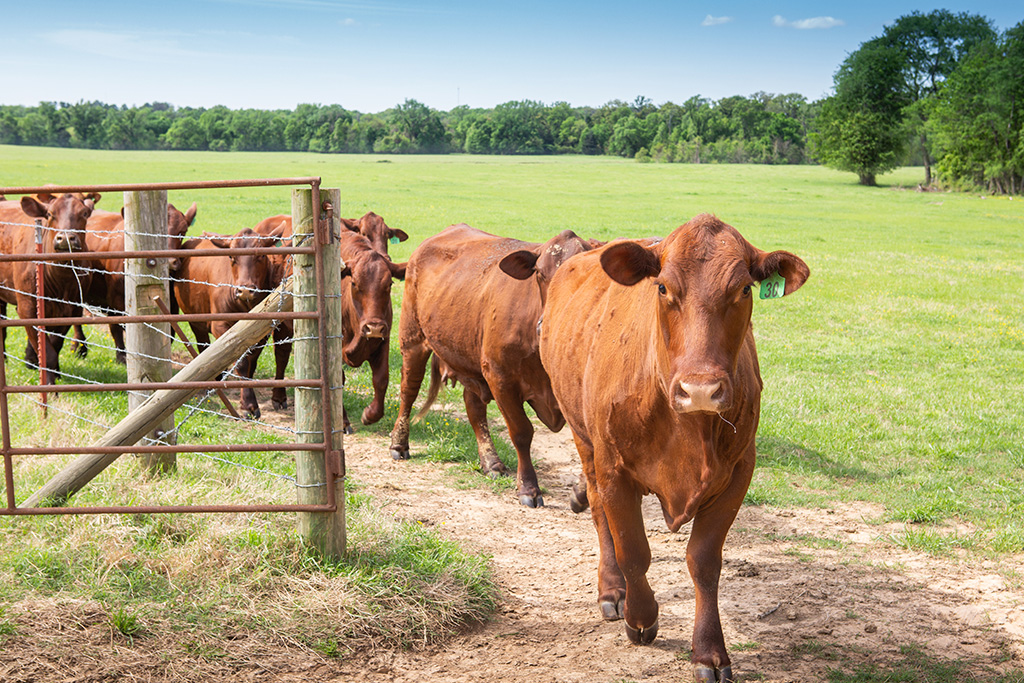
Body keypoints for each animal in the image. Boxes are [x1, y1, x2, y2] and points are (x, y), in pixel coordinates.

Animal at [0, 192, 100, 384]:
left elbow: (54, 345)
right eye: (50, 214)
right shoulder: (27, 309)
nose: (66, 238)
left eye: (84, 213)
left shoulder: (71, 310)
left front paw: (55, 373)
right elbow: (47, 351)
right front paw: (48, 383)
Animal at [72, 202, 197, 363]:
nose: (169, 262)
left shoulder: (172, 305)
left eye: (182, 230)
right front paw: (121, 356)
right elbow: (116, 327)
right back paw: (79, 347)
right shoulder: (115, 299)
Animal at [173, 226, 284, 419]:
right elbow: (241, 363)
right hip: (195, 319)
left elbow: (251, 360)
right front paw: (248, 404)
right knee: (203, 345)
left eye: (262, 255)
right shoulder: (221, 326)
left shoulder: (262, 331)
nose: (245, 290)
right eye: (232, 257)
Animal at [387, 224, 599, 507]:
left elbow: (590, 446)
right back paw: (399, 444)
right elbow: (521, 432)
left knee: (474, 406)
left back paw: (491, 462)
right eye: (539, 273)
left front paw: (581, 493)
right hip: (413, 339)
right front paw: (528, 488)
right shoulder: (500, 376)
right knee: (408, 391)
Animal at [538, 214, 809, 682]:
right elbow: (632, 549)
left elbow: (704, 561)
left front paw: (709, 651)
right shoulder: (613, 470)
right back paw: (612, 589)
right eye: (663, 287)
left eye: (743, 289)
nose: (700, 389)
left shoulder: (739, 472)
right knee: (599, 513)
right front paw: (640, 616)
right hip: (585, 440)